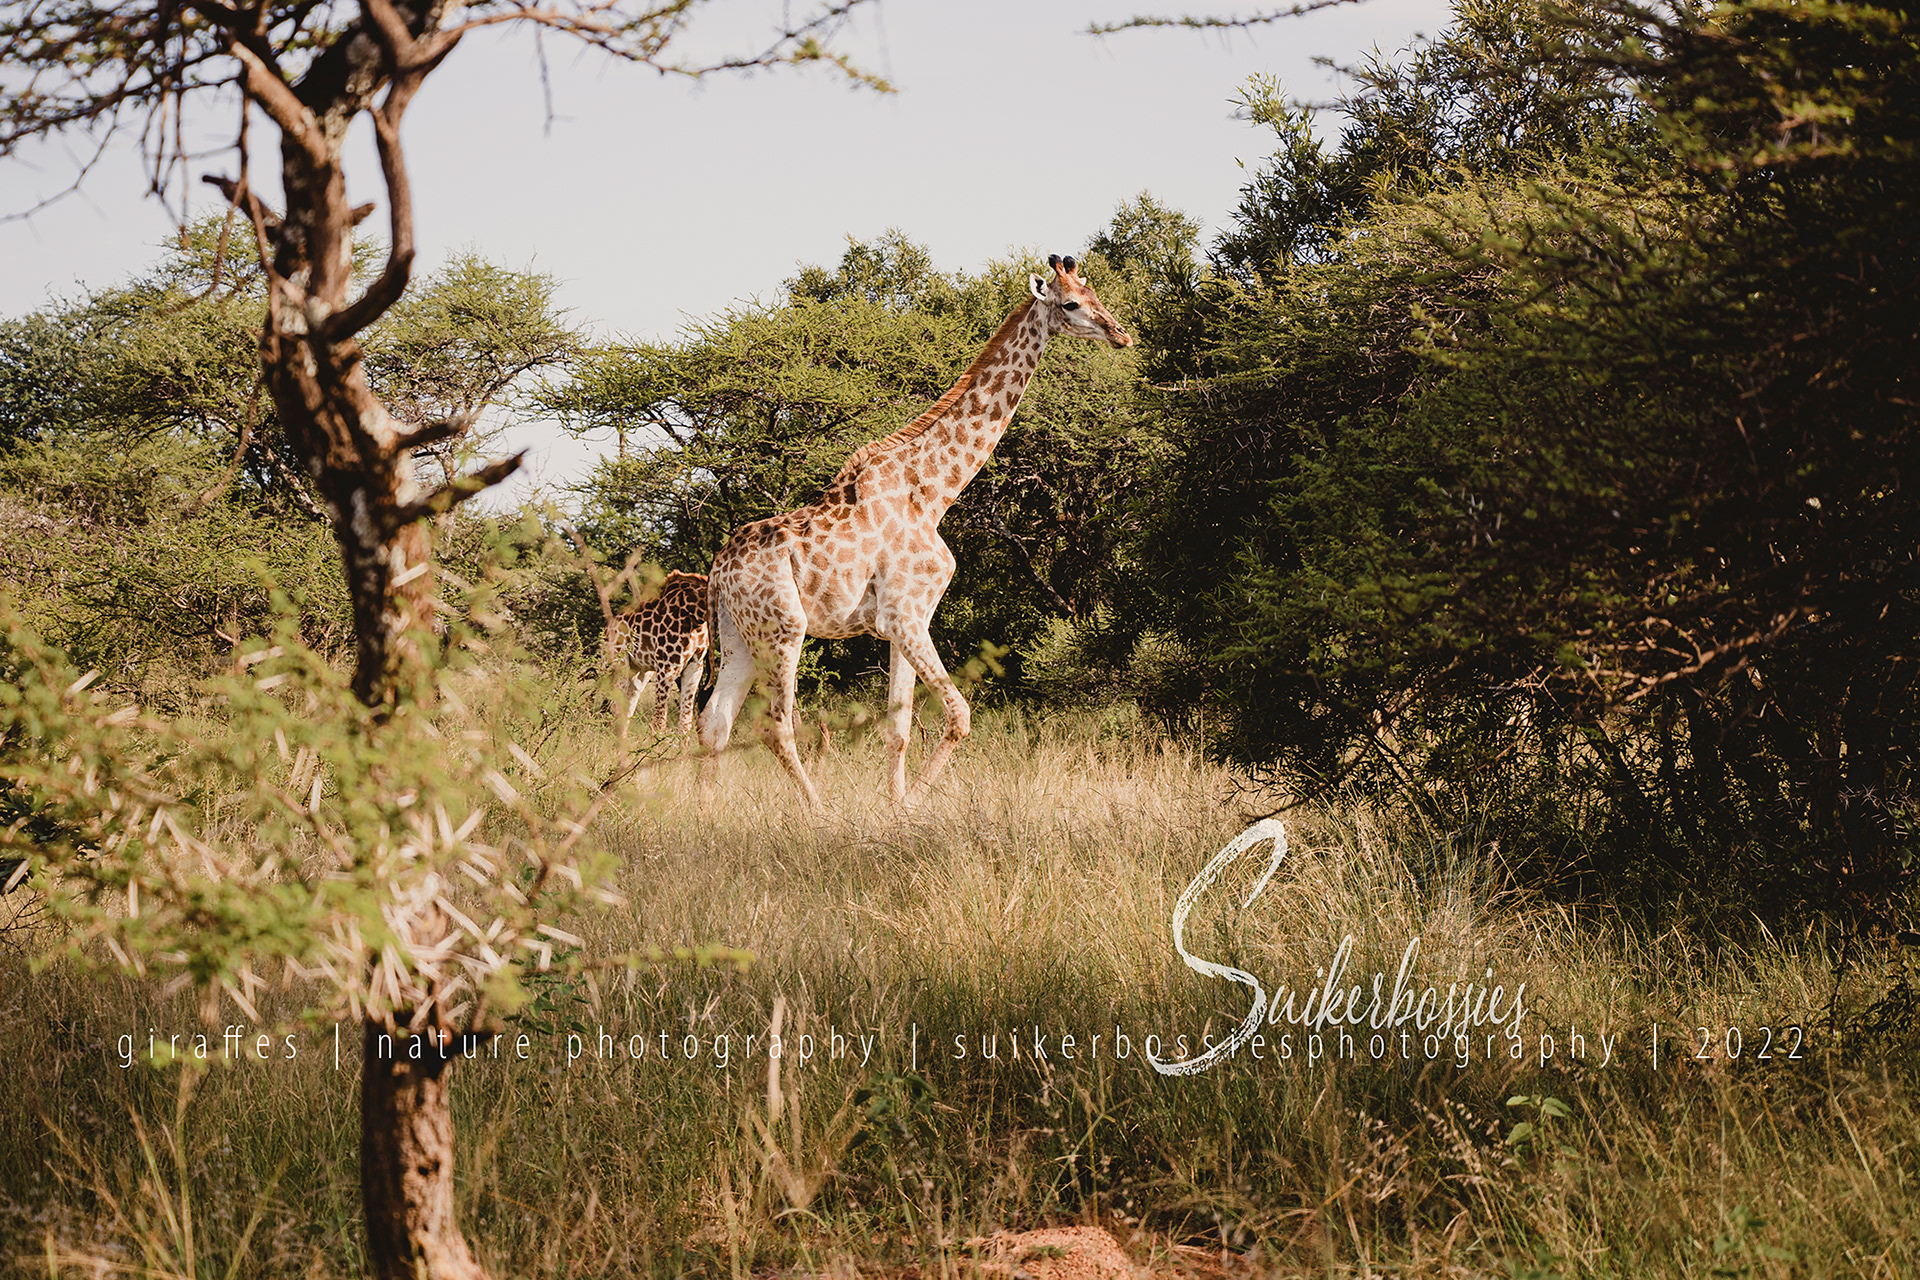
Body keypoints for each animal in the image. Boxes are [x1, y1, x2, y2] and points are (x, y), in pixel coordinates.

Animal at [604, 571, 710, 736]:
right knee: (616, 707)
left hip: (640, 672)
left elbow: (685, 723)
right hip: (618, 665)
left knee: (628, 707)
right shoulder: (667, 665)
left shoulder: (696, 664)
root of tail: (607, 630)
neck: (696, 614)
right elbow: (659, 721)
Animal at [699, 255, 1133, 806]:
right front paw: (913, 802)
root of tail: (718, 570)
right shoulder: (907, 615)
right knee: (775, 727)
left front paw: (896, 806)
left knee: (714, 722)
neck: (932, 495)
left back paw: (702, 811)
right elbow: (960, 715)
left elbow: (899, 729)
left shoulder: (904, 621)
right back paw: (816, 811)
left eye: (1094, 292)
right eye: (1073, 303)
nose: (1121, 334)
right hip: (783, 629)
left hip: (739, 634)